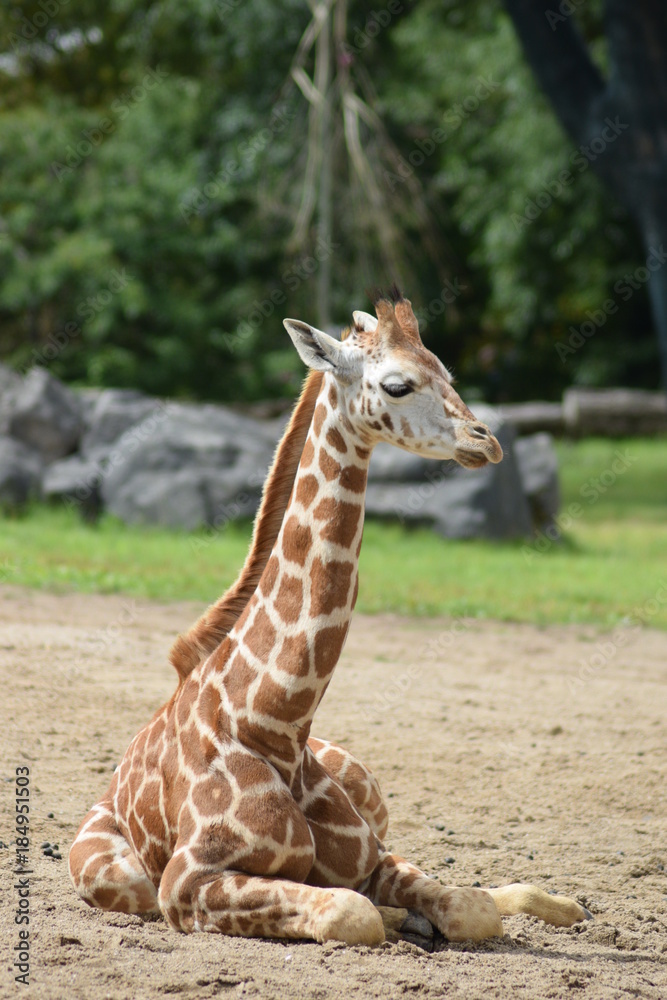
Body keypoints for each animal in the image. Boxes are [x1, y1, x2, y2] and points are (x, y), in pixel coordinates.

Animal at [69, 291, 591, 945]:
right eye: (397, 385)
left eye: (446, 370)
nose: (486, 441)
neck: (277, 722)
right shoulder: (186, 883)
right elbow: (352, 911)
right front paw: (398, 920)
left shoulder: (371, 857)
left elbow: (470, 906)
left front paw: (431, 915)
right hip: (117, 878)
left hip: (370, 787)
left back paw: (570, 908)